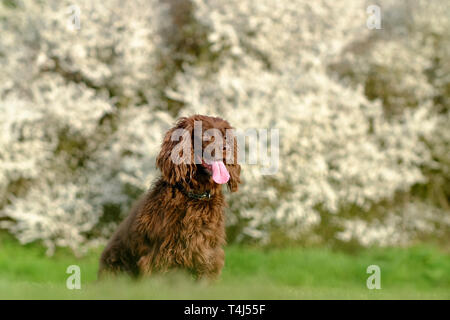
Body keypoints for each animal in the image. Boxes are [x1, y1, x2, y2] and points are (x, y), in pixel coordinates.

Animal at [97, 115, 239, 280]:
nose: (226, 149)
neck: (195, 196)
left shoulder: (208, 255)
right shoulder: (160, 256)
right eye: (205, 135)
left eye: (225, 136)